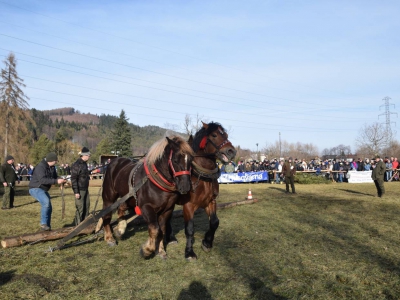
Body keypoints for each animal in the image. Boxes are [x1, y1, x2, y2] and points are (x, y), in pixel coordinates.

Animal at [166, 122, 238, 260]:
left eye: (226, 135)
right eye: (214, 135)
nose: (231, 151)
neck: (202, 177)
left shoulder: (210, 202)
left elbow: (215, 222)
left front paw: (207, 242)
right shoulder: (188, 206)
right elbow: (189, 229)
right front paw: (189, 252)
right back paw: (170, 238)